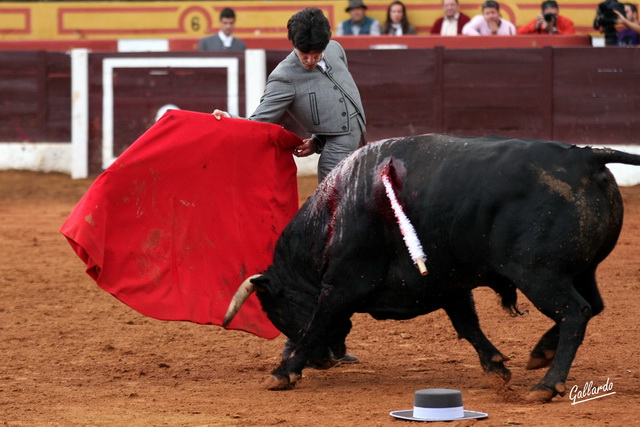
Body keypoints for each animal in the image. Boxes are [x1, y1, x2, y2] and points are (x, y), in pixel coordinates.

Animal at [224, 135, 640, 402]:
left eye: (276, 311)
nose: (324, 362)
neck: (335, 214)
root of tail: (585, 158)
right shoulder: (447, 283)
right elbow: (468, 325)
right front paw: (496, 368)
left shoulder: (342, 284)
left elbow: (317, 324)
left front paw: (283, 372)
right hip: (581, 270)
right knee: (592, 306)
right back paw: (541, 353)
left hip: (540, 274)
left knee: (575, 312)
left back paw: (547, 385)